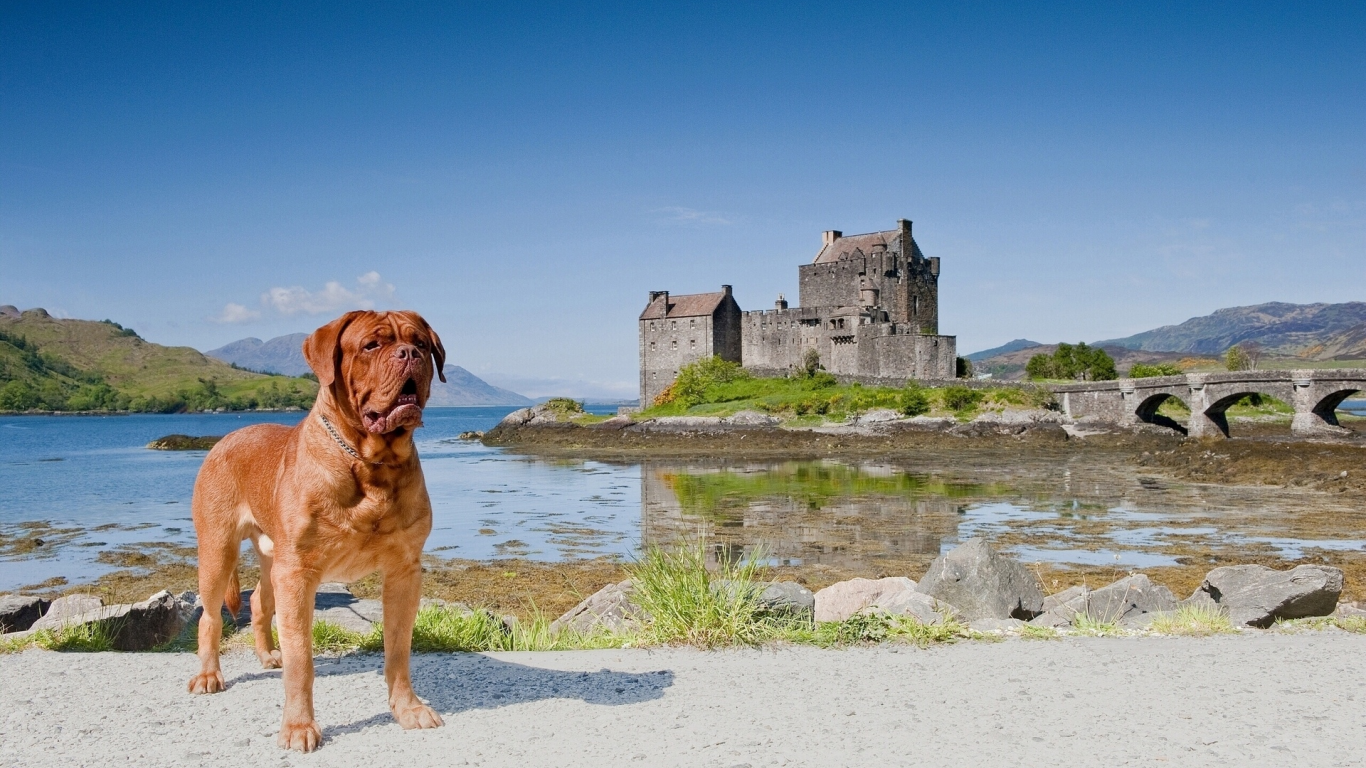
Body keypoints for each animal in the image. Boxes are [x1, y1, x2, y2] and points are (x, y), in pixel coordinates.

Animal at [189, 306, 448, 748]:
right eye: (371, 345)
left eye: (421, 343)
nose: (409, 354)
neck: (371, 463)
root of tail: (224, 438)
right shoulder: (298, 573)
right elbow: (302, 660)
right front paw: (298, 726)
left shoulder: (404, 571)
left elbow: (398, 649)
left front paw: (408, 709)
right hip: (219, 549)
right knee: (210, 616)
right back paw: (209, 674)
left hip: (272, 557)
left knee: (260, 602)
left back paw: (267, 654)